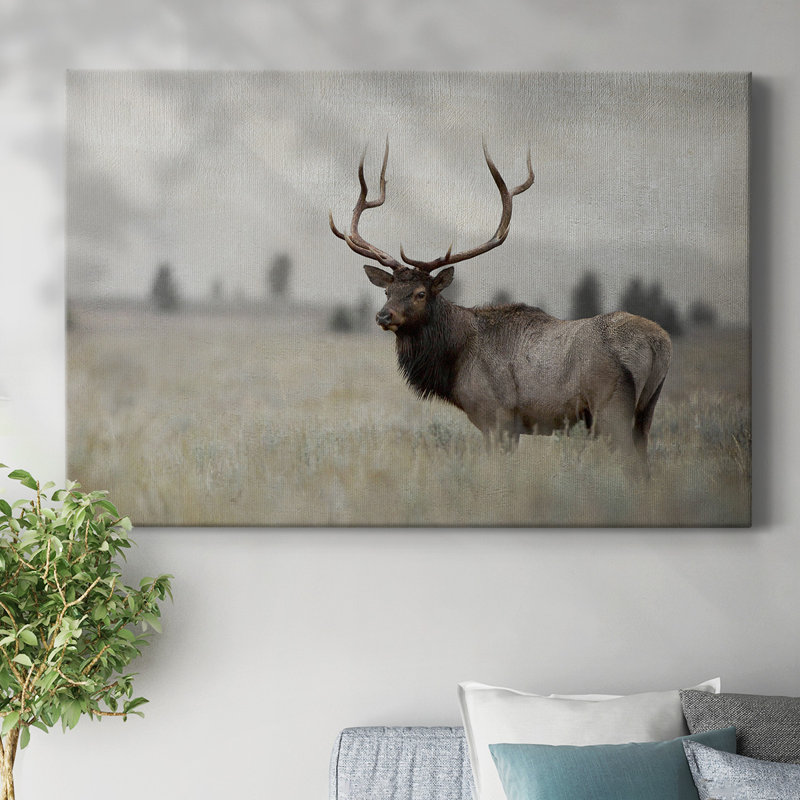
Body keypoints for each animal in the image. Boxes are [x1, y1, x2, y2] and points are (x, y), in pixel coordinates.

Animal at [329, 141, 672, 476]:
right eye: (387, 291)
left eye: (420, 293)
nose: (383, 315)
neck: (456, 359)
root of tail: (659, 343)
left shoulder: (496, 416)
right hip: (647, 409)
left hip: (611, 406)